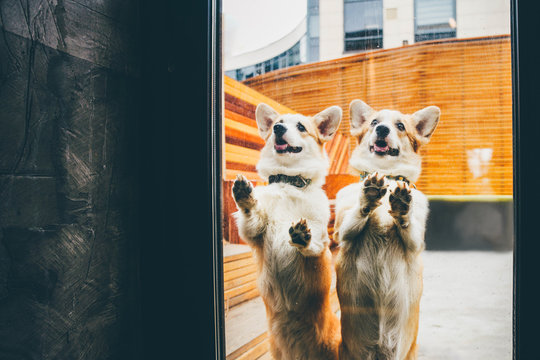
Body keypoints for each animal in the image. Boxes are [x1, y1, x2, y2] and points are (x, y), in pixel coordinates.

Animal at [232, 102, 342, 360]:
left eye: (301, 126)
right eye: (276, 124)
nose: (278, 129)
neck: (288, 182)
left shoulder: (320, 242)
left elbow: (313, 245)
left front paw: (302, 237)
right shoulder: (255, 233)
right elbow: (252, 215)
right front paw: (245, 196)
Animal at [336, 99, 440, 360]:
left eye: (400, 126)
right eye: (374, 122)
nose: (382, 129)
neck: (387, 176)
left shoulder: (415, 243)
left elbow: (407, 224)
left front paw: (402, 206)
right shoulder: (344, 234)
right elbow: (357, 213)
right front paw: (369, 193)